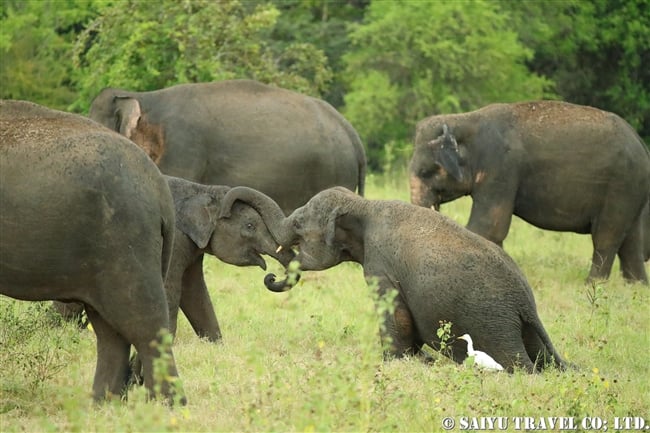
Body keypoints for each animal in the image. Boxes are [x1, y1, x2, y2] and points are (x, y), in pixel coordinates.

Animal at [0, 99, 185, 404]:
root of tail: (160, 189)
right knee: (110, 331)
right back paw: (104, 404)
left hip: (125, 240)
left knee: (144, 325)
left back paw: (166, 406)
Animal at [218, 186, 568, 372]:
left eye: (300, 226)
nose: (270, 276)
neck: (363, 205)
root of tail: (526, 305)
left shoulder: (380, 266)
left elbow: (394, 313)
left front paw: (395, 361)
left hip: (494, 324)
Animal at [408, 100, 644, 284]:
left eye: (427, 172)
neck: (466, 121)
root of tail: (641, 143)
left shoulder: (502, 168)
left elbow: (488, 226)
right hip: (632, 193)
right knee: (631, 242)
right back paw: (636, 286)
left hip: (620, 188)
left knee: (606, 237)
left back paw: (592, 284)